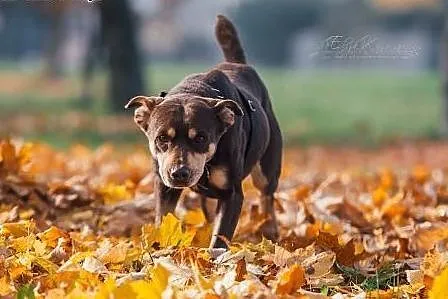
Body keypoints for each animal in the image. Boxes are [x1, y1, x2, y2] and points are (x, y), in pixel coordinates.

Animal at [124, 15, 282, 248]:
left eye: (200, 138)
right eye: (161, 138)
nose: (179, 173)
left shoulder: (232, 193)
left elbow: (221, 236)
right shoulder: (164, 184)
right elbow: (163, 217)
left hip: (267, 165)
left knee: (266, 194)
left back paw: (269, 229)